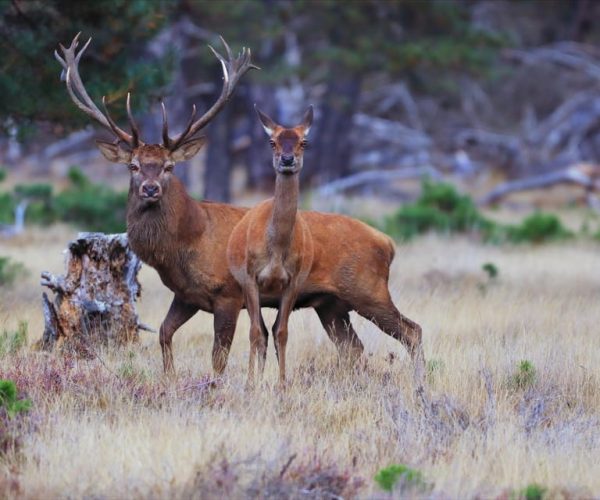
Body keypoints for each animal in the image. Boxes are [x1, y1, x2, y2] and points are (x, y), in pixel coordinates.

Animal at [227, 104, 314, 386]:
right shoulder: (250, 277)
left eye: (303, 142)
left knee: (271, 330)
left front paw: (283, 384)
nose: (286, 160)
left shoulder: (293, 281)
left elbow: (282, 332)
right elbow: (254, 332)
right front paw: (250, 384)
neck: (276, 251)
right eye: (272, 141)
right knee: (260, 331)